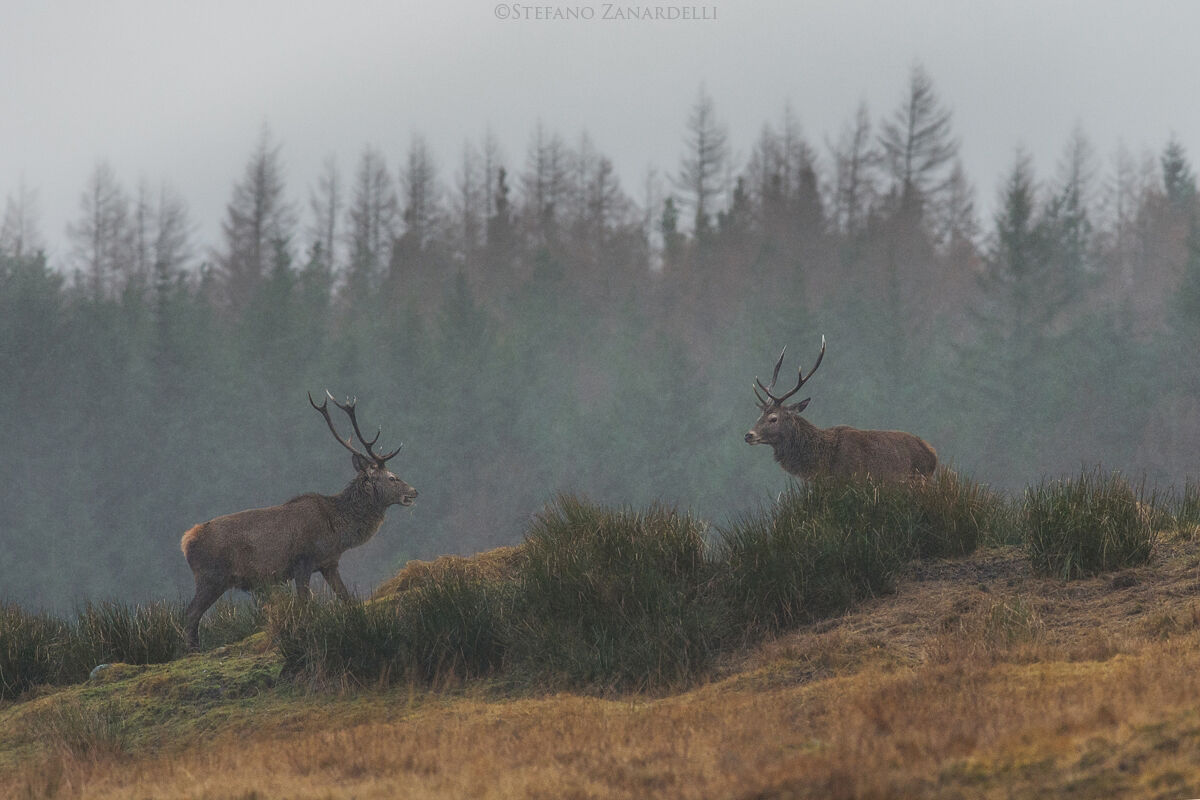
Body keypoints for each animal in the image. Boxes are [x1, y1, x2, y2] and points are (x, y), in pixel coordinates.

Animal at [180, 391, 418, 650]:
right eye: (392, 478)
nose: (414, 491)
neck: (337, 530)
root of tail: (186, 541)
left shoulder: (329, 563)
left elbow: (346, 598)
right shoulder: (302, 560)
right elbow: (305, 604)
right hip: (211, 576)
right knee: (190, 614)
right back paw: (192, 650)